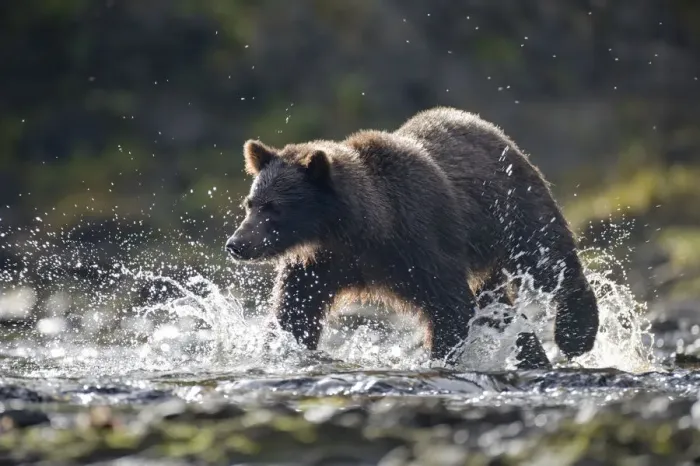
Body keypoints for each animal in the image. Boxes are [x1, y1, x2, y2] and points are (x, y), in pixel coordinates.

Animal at [226, 107, 599, 368]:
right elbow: (294, 312)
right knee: (498, 305)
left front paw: (438, 358)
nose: (236, 244)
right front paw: (279, 351)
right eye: (250, 203)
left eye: (273, 208)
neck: (360, 231)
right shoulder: (319, 265)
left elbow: (449, 306)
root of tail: (492, 129)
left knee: (548, 258)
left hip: (512, 208)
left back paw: (575, 335)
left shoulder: (419, 244)